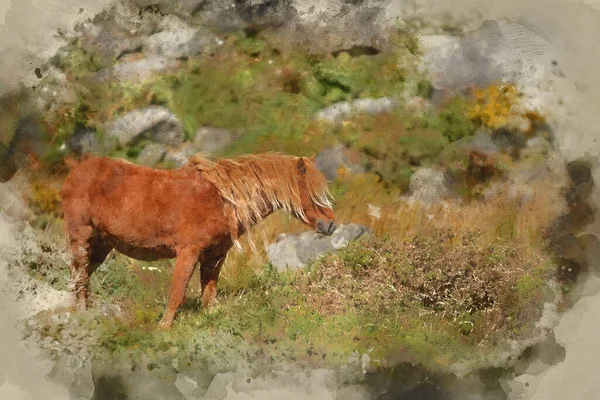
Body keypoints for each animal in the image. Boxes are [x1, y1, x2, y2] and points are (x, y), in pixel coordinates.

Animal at [61, 153, 338, 328]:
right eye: (311, 192)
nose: (331, 225)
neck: (223, 200)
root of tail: (74, 174)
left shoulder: (214, 257)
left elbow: (208, 297)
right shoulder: (188, 253)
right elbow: (177, 293)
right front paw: (164, 328)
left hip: (101, 246)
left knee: (82, 279)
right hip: (82, 238)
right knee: (79, 278)